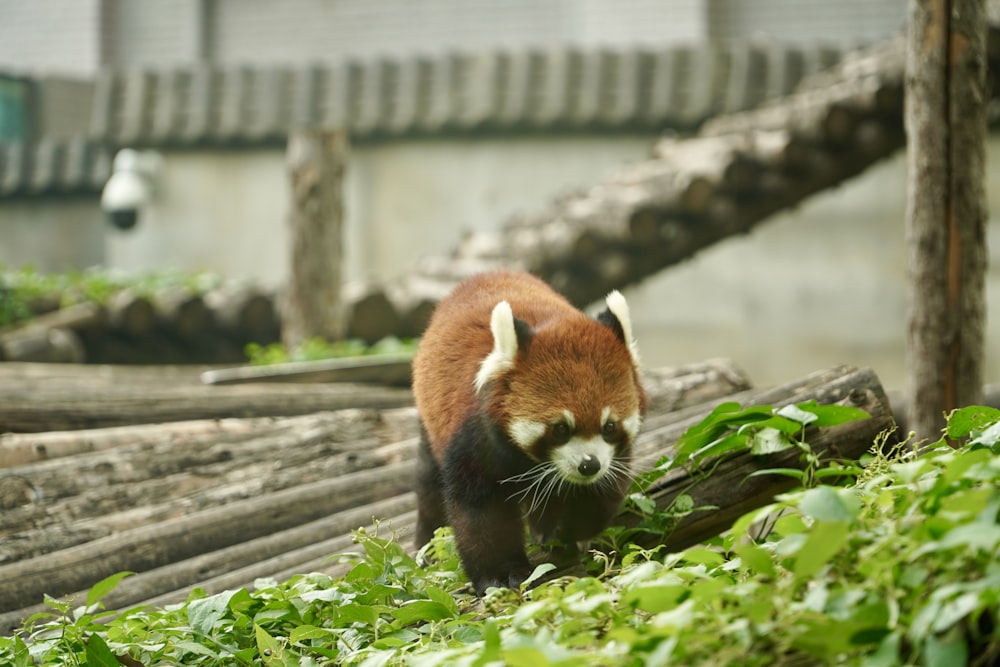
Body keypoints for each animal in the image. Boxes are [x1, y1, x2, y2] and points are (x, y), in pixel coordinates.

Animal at [410, 268, 644, 592]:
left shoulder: (612, 458)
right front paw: (501, 573)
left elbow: (600, 491)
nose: (589, 465)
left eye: (609, 426)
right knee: (429, 482)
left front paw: (568, 531)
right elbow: (481, 509)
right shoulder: (474, 438)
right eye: (560, 428)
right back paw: (426, 544)